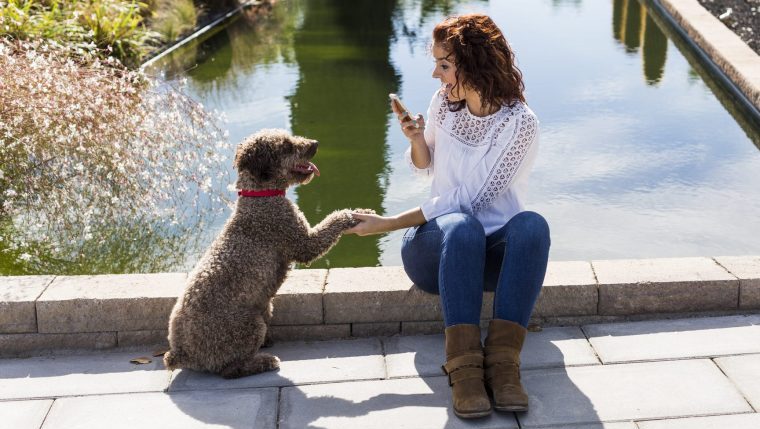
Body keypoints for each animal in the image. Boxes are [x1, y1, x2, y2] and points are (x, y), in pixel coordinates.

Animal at [163, 128, 372, 378]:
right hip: (247, 325)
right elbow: (333, 220)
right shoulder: (302, 242)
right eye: (286, 146)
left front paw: (362, 211)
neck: (261, 198)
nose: (315, 143)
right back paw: (264, 362)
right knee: (229, 369)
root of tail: (181, 353)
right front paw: (351, 215)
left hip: (262, 307)